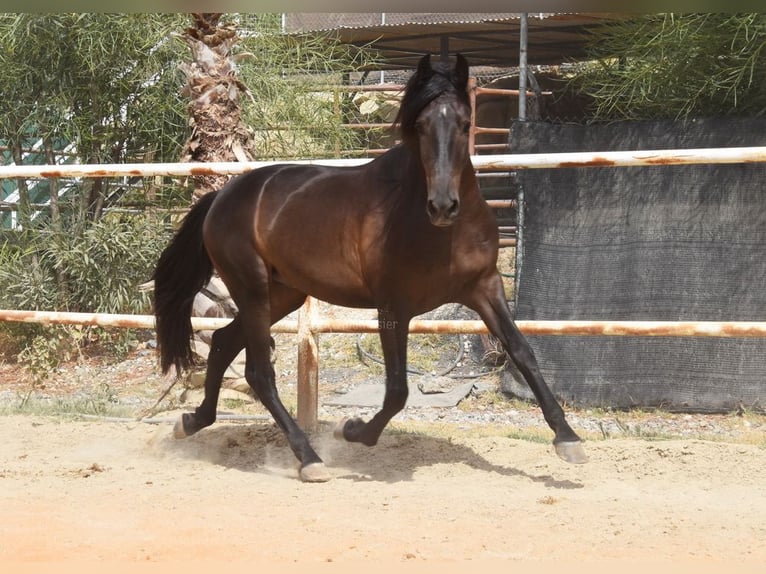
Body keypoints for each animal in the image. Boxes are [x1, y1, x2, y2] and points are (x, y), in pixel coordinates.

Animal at [152, 53, 587, 482]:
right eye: (421, 126)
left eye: (465, 124)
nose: (443, 206)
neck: (439, 231)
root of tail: (223, 195)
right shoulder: (393, 307)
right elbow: (397, 389)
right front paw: (354, 430)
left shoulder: (485, 287)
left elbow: (523, 351)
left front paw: (567, 439)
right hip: (253, 289)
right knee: (259, 373)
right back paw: (309, 459)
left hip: (283, 294)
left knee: (223, 342)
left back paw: (192, 422)